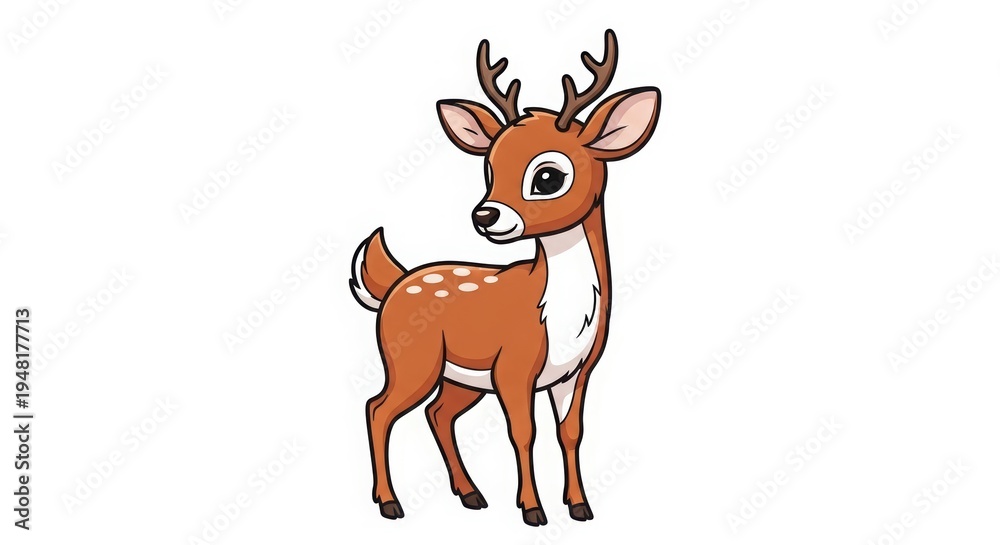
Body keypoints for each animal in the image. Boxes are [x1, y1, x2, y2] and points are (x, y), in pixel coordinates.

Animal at [349, 29, 660, 526]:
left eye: (548, 176)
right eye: (489, 168)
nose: (485, 215)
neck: (559, 314)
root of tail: (395, 284)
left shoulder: (578, 371)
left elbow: (571, 432)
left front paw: (579, 506)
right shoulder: (513, 366)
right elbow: (523, 432)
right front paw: (533, 510)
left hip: (457, 377)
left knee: (437, 414)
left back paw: (471, 494)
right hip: (410, 359)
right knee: (377, 408)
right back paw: (390, 503)